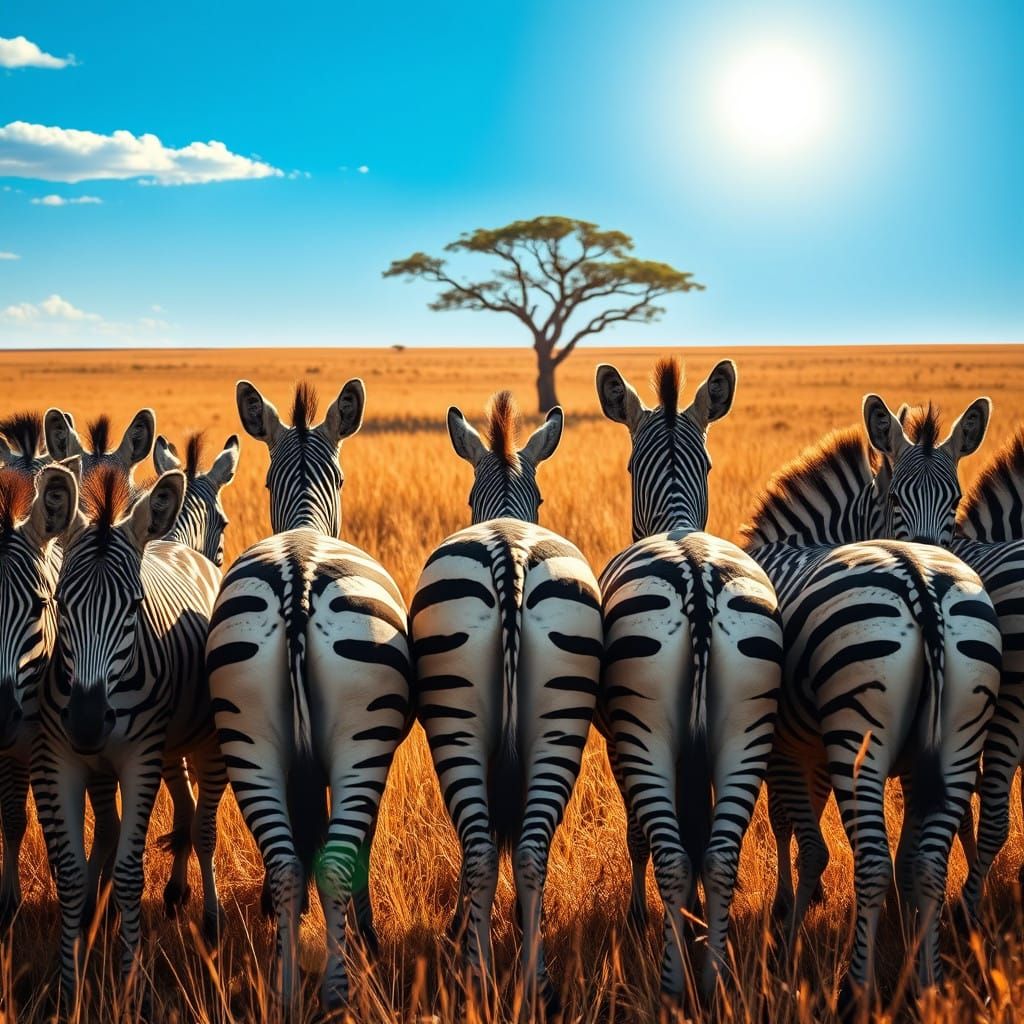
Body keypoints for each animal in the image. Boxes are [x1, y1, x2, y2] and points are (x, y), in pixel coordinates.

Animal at [31, 464, 225, 1004]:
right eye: (60, 603)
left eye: (134, 606)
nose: (87, 722)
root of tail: (179, 546)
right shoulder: (62, 758)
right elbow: (71, 874)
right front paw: (69, 985)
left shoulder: (140, 758)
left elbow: (129, 872)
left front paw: (130, 984)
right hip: (163, 750)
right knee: (181, 810)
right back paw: (173, 896)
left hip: (205, 745)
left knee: (203, 829)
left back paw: (210, 923)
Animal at [205, 380, 411, 1012]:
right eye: (343, 481)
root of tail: (297, 576)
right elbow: (356, 845)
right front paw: (367, 936)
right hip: (361, 740)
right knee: (338, 862)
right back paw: (338, 991)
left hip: (247, 740)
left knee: (285, 866)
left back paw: (285, 989)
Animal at [410, 391, 602, 1015]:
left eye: (540, 499)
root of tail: (509, 553)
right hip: (559, 720)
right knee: (530, 849)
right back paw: (532, 984)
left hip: (458, 725)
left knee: (478, 846)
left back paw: (477, 978)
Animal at [594, 357, 783, 1001]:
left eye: (627, 467)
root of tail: (698, 576)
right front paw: (698, 920)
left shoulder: (619, 741)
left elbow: (640, 835)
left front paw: (638, 917)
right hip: (748, 730)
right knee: (721, 855)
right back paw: (715, 976)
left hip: (645, 732)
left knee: (672, 854)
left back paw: (675, 986)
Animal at [742, 399, 1000, 1003]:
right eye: (894, 500)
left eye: (956, 499)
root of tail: (923, 584)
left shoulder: (788, 748)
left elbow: (792, 825)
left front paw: (787, 930)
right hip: (957, 739)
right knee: (928, 862)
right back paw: (927, 983)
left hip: (858, 740)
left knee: (874, 864)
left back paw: (855, 989)